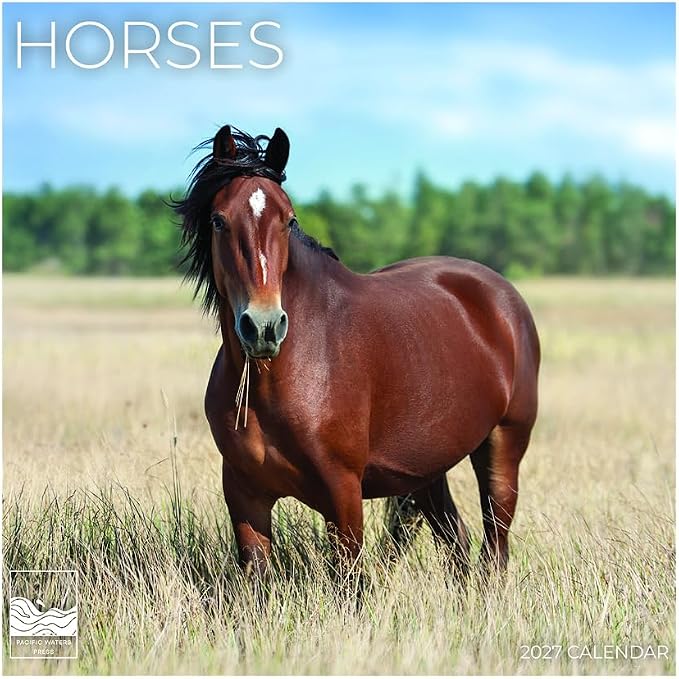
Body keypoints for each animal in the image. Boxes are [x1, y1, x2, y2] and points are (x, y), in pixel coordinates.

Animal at [173, 125, 540, 579]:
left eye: (289, 220)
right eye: (219, 220)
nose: (263, 327)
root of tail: (504, 297)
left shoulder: (342, 492)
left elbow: (350, 582)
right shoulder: (245, 495)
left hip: (503, 446)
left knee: (495, 546)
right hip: (427, 470)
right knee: (457, 539)